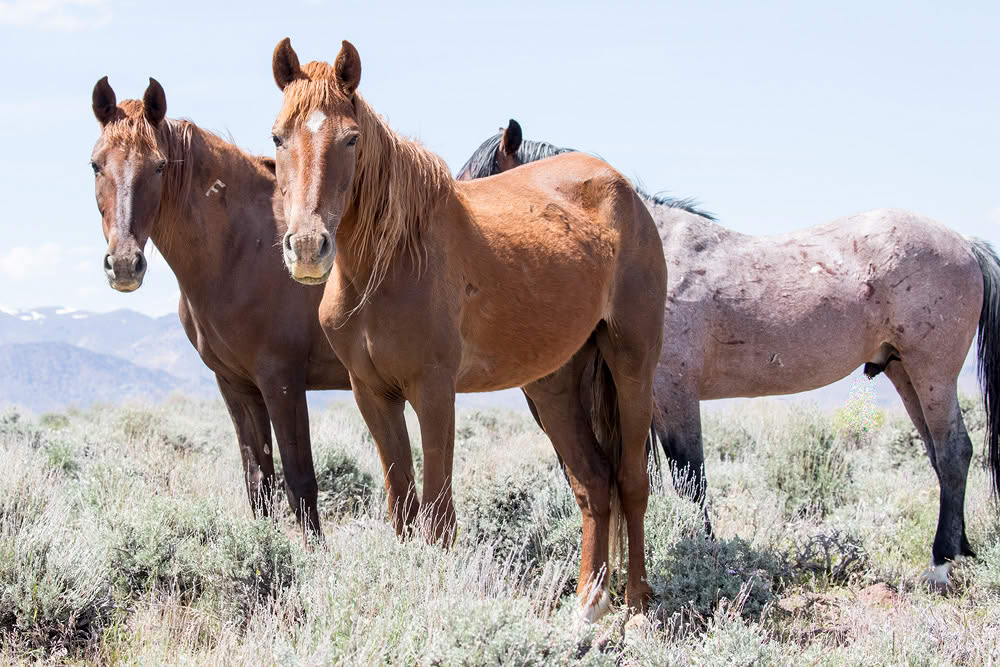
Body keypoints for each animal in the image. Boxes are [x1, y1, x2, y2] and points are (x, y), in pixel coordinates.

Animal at [88, 77, 354, 535]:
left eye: (159, 166)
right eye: (96, 165)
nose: (123, 264)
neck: (245, 247)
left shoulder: (281, 381)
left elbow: (300, 483)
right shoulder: (236, 385)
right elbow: (259, 483)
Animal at [267, 38, 667, 619]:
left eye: (351, 138)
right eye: (277, 137)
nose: (306, 248)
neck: (388, 262)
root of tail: (624, 190)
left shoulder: (434, 392)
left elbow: (438, 517)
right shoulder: (373, 395)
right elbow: (404, 507)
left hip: (632, 363)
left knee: (631, 480)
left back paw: (635, 601)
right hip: (552, 385)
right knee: (593, 481)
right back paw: (587, 602)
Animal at [458, 119, 1000, 584]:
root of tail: (964, 244)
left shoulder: (672, 396)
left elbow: (691, 482)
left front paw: (703, 556)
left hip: (932, 372)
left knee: (954, 451)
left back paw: (940, 564)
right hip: (903, 372)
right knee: (940, 455)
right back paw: (959, 549)